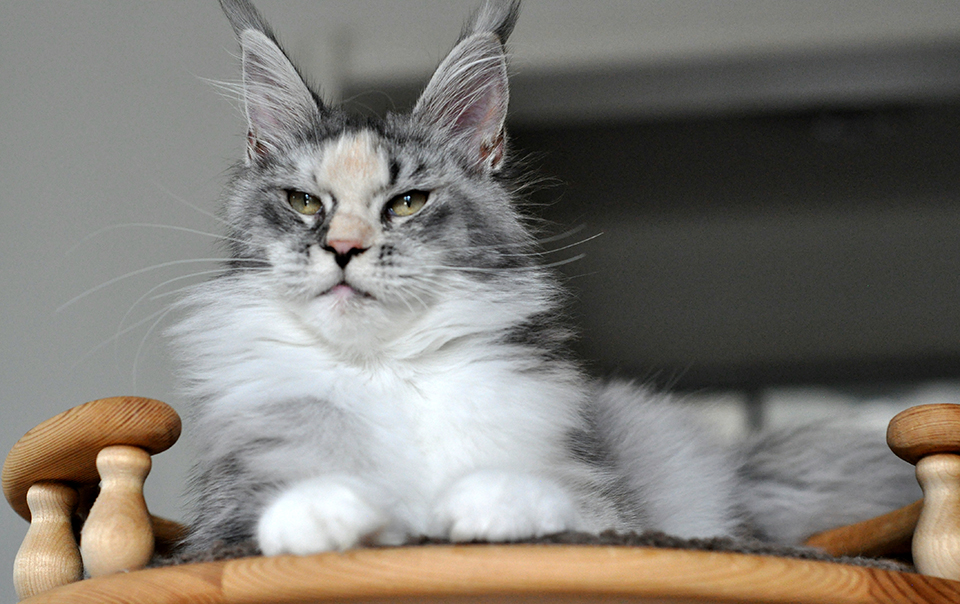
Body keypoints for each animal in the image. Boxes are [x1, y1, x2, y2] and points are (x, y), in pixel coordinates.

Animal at [174, 0, 924, 556]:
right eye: (305, 202)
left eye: (406, 203)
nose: (343, 248)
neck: (383, 370)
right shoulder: (221, 526)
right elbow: (279, 515)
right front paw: (324, 515)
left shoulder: (605, 505)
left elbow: (553, 503)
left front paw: (478, 508)